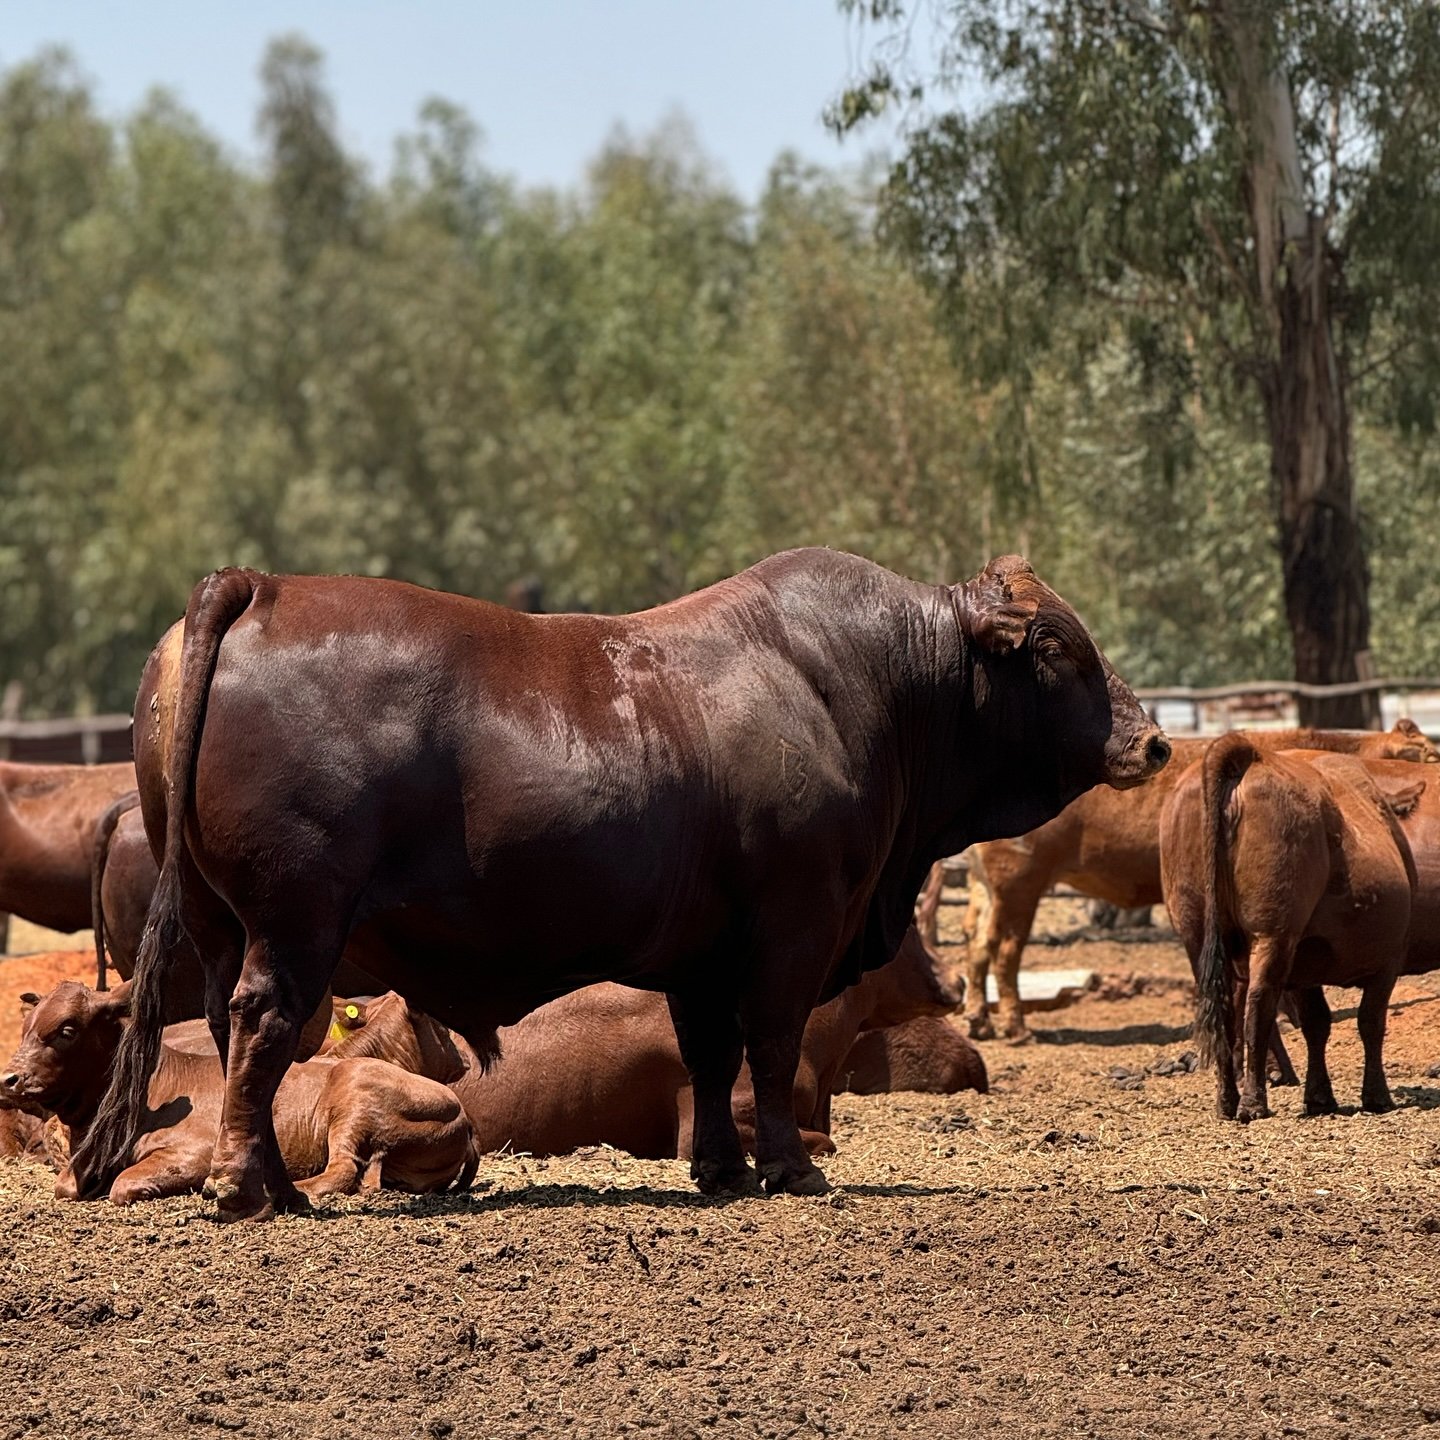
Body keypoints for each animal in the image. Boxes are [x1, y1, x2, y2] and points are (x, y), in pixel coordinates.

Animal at [1, 981, 478, 1204]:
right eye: (25, 1028)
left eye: (66, 1029)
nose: (9, 1078)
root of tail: (463, 1115)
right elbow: (65, 1186)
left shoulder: (194, 1151)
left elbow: (124, 1184)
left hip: (356, 1103)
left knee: (343, 1170)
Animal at [74, 550, 1169, 1219]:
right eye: (1056, 645)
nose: (1152, 739)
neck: (863, 684)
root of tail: (264, 585)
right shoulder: (794, 923)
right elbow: (770, 1046)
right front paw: (791, 1169)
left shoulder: (701, 952)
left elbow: (711, 1051)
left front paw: (720, 1171)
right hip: (295, 918)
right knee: (261, 1025)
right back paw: (246, 1189)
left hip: (220, 920)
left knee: (234, 1031)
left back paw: (271, 1181)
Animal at [961, 720, 1439, 1043]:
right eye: (1427, 753)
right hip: (1018, 884)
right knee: (1005, 952)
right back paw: (1015, 1027)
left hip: (987, 888)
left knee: (977, 945)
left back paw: (979, 1021)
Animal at [1159, 737, 1422, 1121]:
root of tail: (1248, 753)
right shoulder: (1388, 961)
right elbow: (1370, 1023)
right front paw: (1376, 1096)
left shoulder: (1304, 964)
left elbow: (1317, 1023)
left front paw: (1320, 1097)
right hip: (1272, 934)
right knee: (1257, 1008)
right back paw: (1253, 1103)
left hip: (1196, 933)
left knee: (1225, 1015)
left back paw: (1227, 1102)